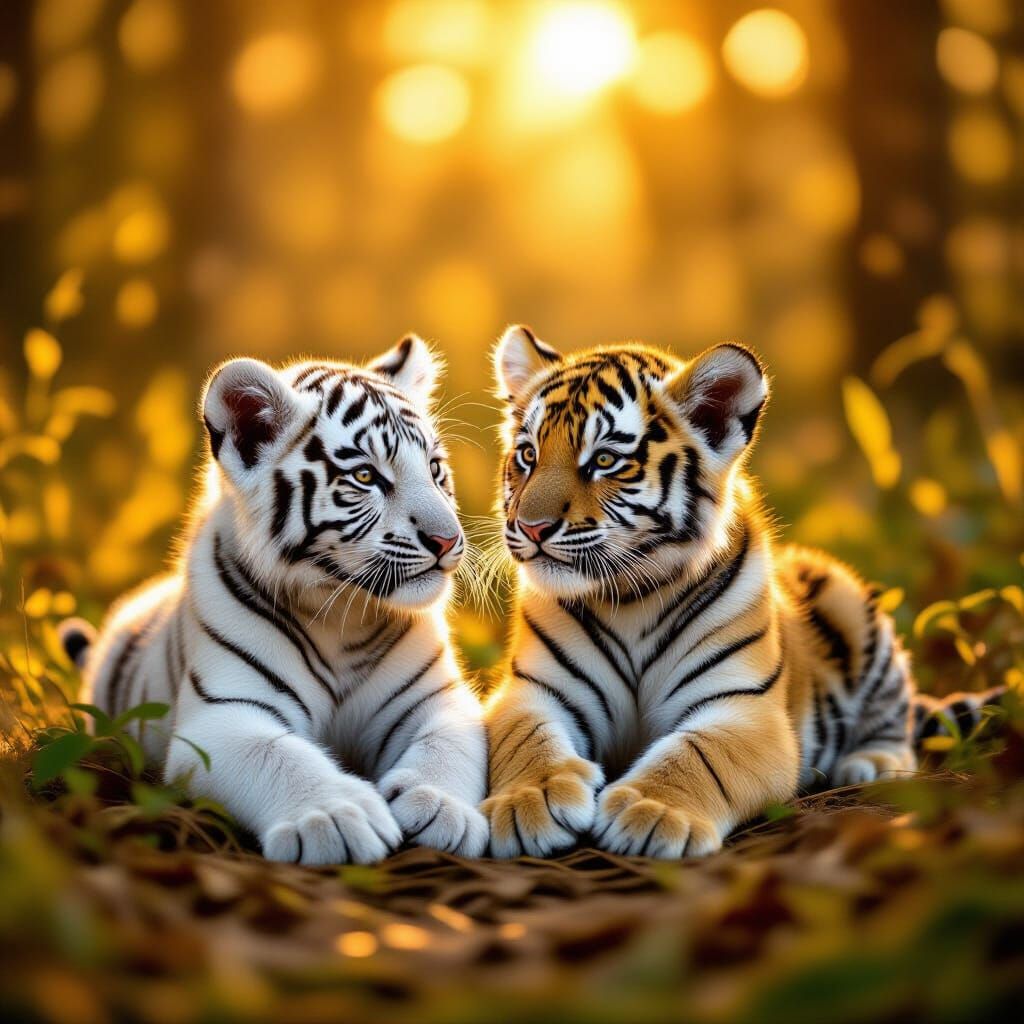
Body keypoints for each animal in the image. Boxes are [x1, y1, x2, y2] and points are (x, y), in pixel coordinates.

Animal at [60, 335, 488, 864]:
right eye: (366, 477)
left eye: (434, 469)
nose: (448, 540)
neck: (341, 615)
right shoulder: (223, 719)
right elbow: (279, 758)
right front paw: (336, 816)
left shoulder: (436, 699)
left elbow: (448, 746)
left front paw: (442, 807)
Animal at [482, 325, 1003, 859]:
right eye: (528, 455)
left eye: (605, 460)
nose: (531, 527)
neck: (630, 599)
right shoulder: (534, 691)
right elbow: (526, 739)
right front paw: (529, 800)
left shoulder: (745, 709)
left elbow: (698, 755)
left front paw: (652, 812)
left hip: (848, 600)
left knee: (896, 718)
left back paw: (872, 762)